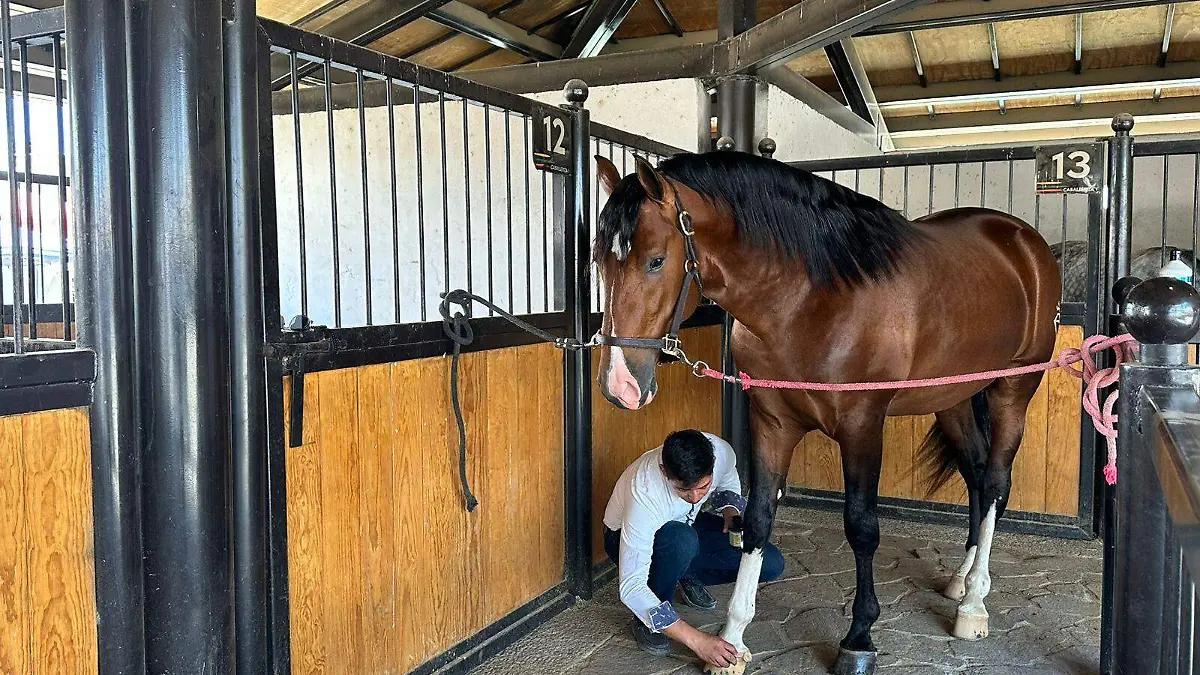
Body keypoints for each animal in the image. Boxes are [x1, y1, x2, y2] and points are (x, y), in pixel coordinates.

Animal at [591, 151, 1060, 675]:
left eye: (655, 260)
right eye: (598, 260)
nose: (619, 385)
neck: (810, 300)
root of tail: (1023, 240)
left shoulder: (863, 427)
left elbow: (862, 527)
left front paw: (859, 637)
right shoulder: (772, 423)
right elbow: (757, 520)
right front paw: (731, 640)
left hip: (1013, 391)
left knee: (996, 482)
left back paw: (974, 603)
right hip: (953, 399)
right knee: (977, 475)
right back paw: (960, 580)